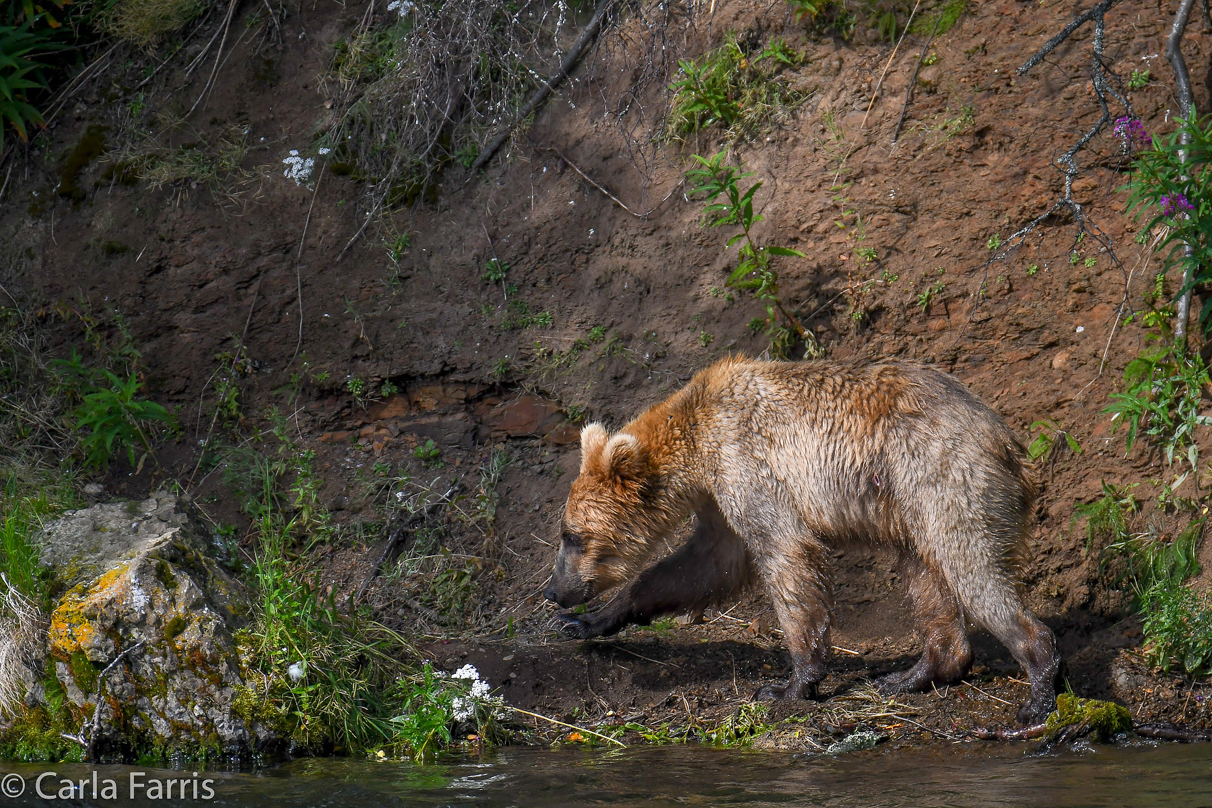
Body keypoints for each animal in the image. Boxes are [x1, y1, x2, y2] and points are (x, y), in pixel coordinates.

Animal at [542, 356, 1061, 721]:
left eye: (573, 535)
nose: (554, 591)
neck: (695, 448)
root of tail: (1011, 443)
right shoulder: (720, 499)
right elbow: (703, 566)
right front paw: (588, 622)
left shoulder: (748, 465)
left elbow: (786, 557)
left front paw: (788, 684)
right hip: (909, 504)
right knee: (926, 576)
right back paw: (911, 675)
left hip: (945, 478)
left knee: (971, 568)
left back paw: (1037, 691)